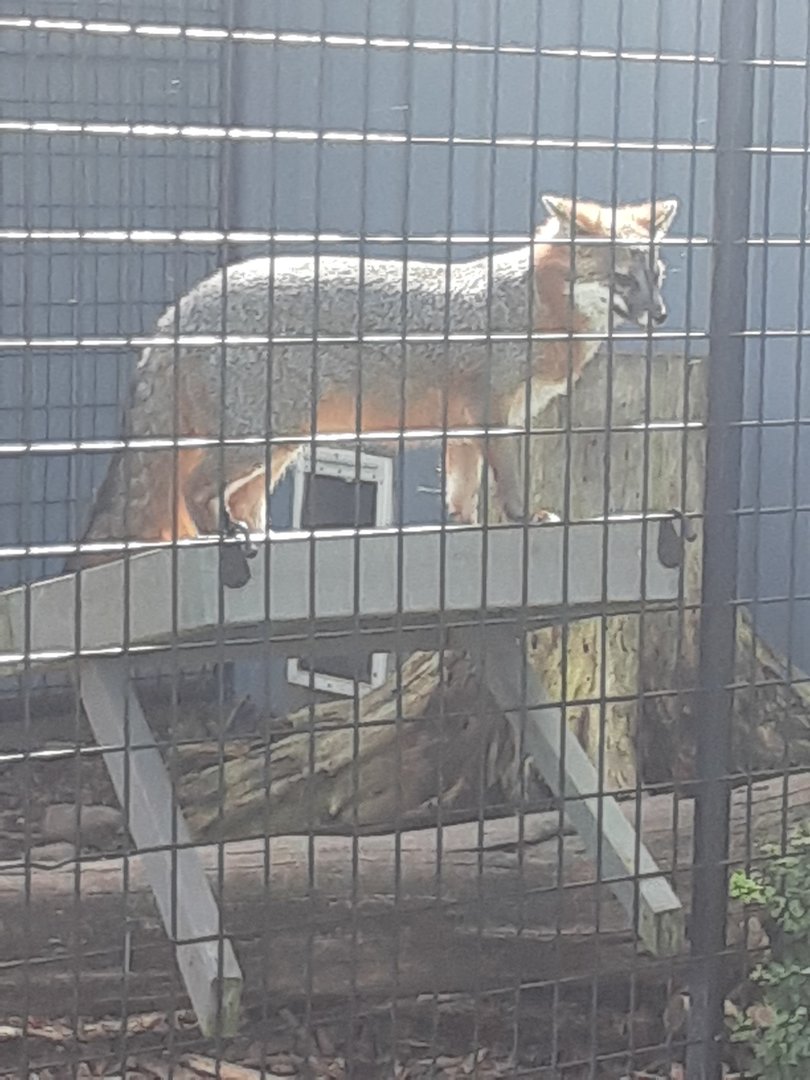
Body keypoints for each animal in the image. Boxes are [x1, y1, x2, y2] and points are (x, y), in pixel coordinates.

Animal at [67, 194, 678, 588]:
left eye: (658, 277)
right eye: (623, 280)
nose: (662, 316)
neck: (530, 304)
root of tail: (185, 305)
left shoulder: (465, 429)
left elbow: (462, 497)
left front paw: (464, 531)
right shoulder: (493, 416)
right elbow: (508, 485)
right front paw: (524, 518)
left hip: (276, 451)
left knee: (231, 500)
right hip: (261, 443)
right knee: (196, 493)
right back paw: (225, 540)